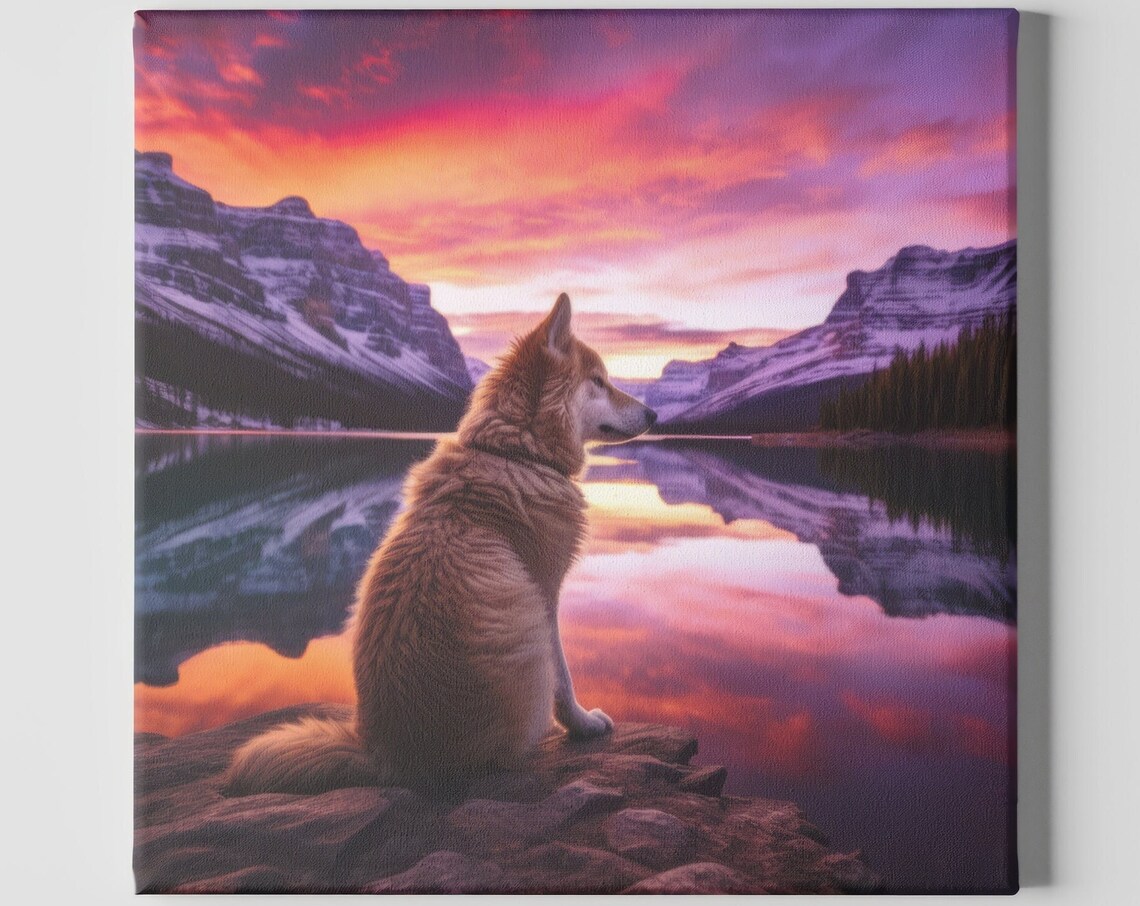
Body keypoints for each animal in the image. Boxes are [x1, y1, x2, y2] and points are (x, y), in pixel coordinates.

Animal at [223, 293, 657, 795]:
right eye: (599, 381)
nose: (656, 415)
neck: (516, 453)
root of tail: (386, 757)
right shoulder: (543, 595)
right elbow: (563, 678)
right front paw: (583, 724)